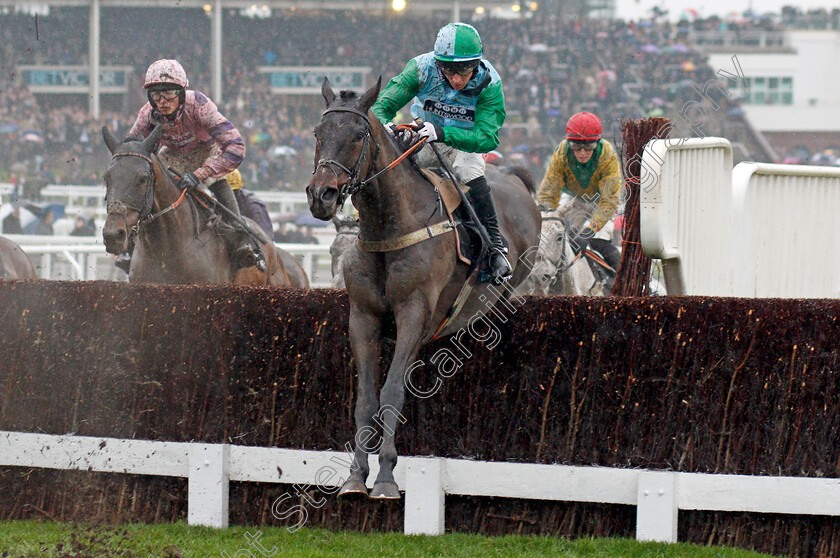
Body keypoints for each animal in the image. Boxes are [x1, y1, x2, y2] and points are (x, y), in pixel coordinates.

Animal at [306, 77, 540, 498]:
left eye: (358, 135)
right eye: (319, 133)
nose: (322, 195)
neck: (390, 228)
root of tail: (513, 176)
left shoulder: (414, 314)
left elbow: (391, 392)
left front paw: (384, 477)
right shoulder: (362, 316)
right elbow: (366, 398)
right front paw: (355, 476)